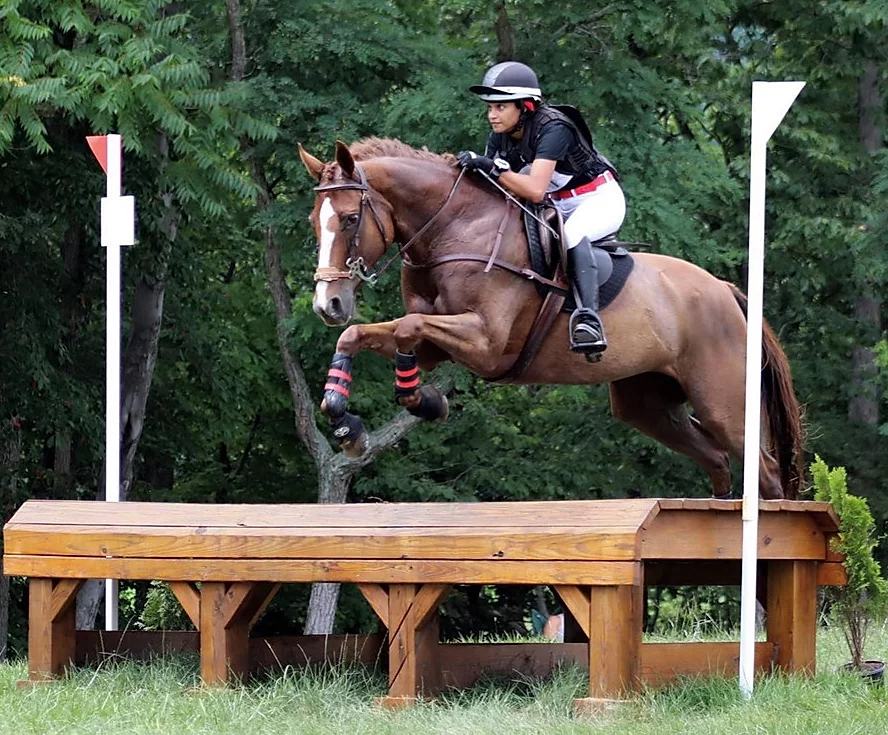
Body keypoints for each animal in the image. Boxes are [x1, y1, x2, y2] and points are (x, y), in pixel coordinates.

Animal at [298, 137, 804, 500]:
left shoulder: (485, 342)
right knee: (717, 459)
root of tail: (727, 292)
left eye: (348, 219)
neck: (453, 229)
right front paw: (350, 423)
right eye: (312, 221)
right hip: (648, 403)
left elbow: (405, 327)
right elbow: (361, 335)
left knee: (766, 476)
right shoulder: (442, 345)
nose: (328, 304)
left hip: (725, 404)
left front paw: (423, 402)